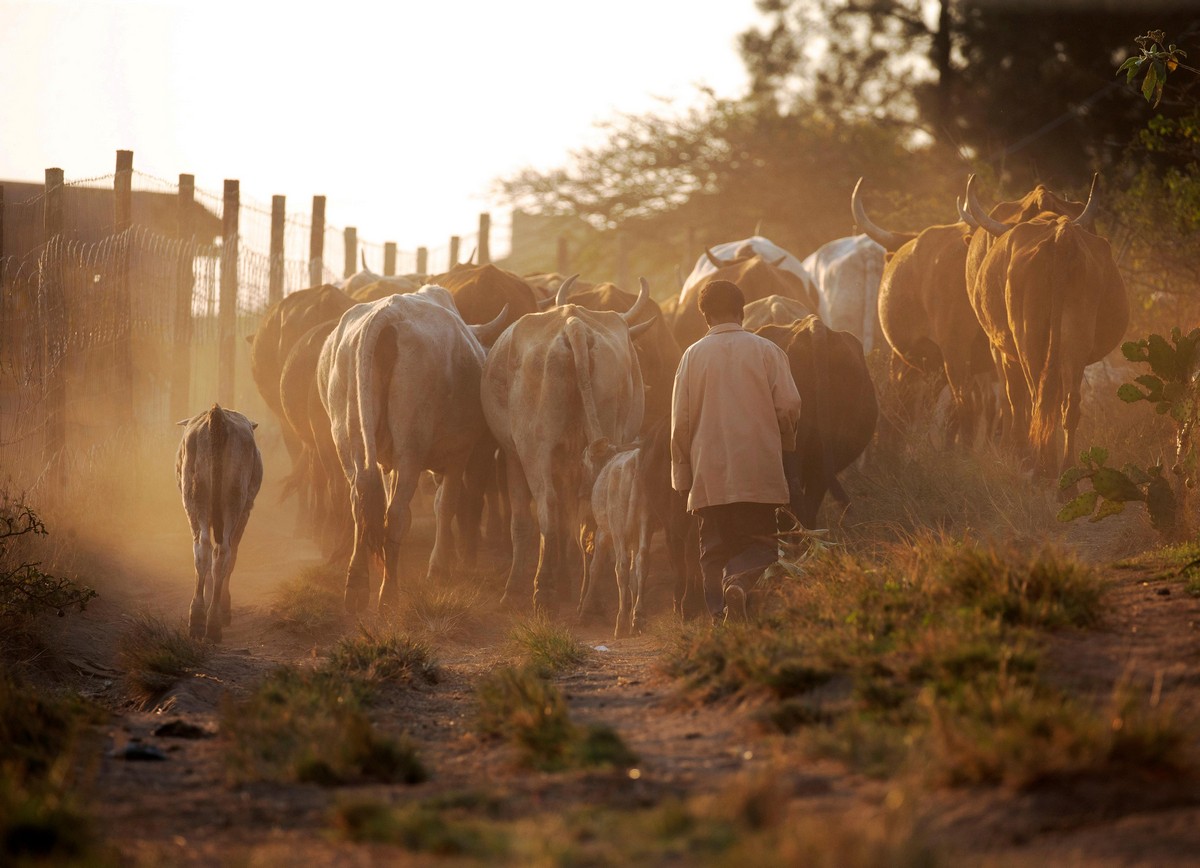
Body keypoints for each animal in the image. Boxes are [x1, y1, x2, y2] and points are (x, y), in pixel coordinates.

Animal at [175, 403, 262, 643]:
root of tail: (217, 414)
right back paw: (214, 620)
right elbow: (232, 558)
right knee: (223, 553)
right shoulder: (246, 510)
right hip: (234, 501)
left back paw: (198, 619)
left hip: (195, 498)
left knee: (203, 550)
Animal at [316, 285, 504, 612]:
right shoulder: (458, 454)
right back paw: (388, 594)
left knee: (362, 503)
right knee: (397, 514)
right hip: (410, 449)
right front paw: (439, 568)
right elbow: (446, 505)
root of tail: (387, 315)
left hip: (350, 438)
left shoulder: (386, 461)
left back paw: (357, 585)